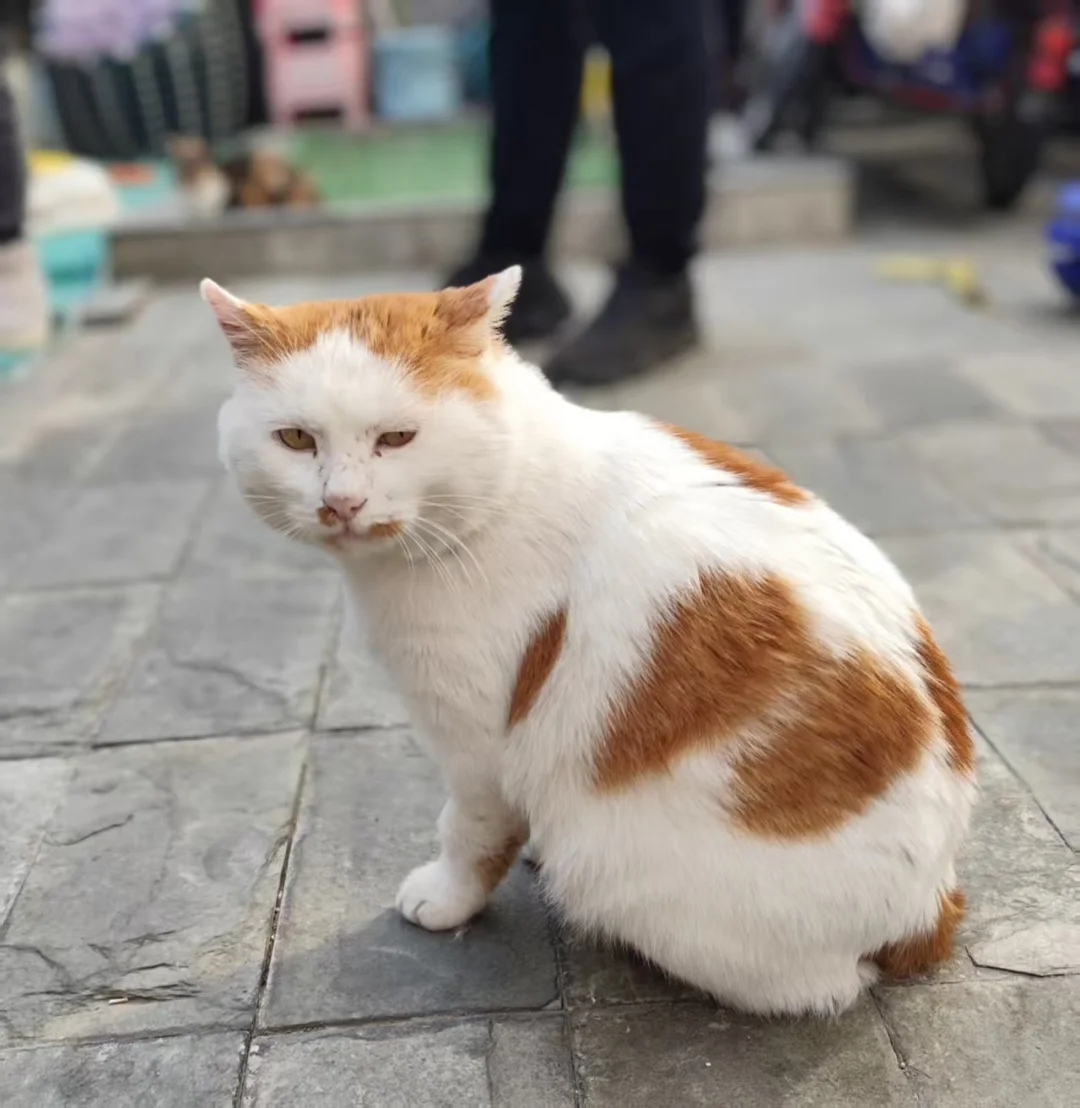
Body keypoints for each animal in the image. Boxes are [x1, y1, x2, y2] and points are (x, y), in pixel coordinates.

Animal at [201, 268, 976, 1018]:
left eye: (396, 439)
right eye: (296, 440)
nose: (342, 502)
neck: (507, 482)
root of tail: (931, 912)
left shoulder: (480, 746)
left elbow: (469, 831)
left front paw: (448, 898)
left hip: (626, 874)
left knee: (814, 989)